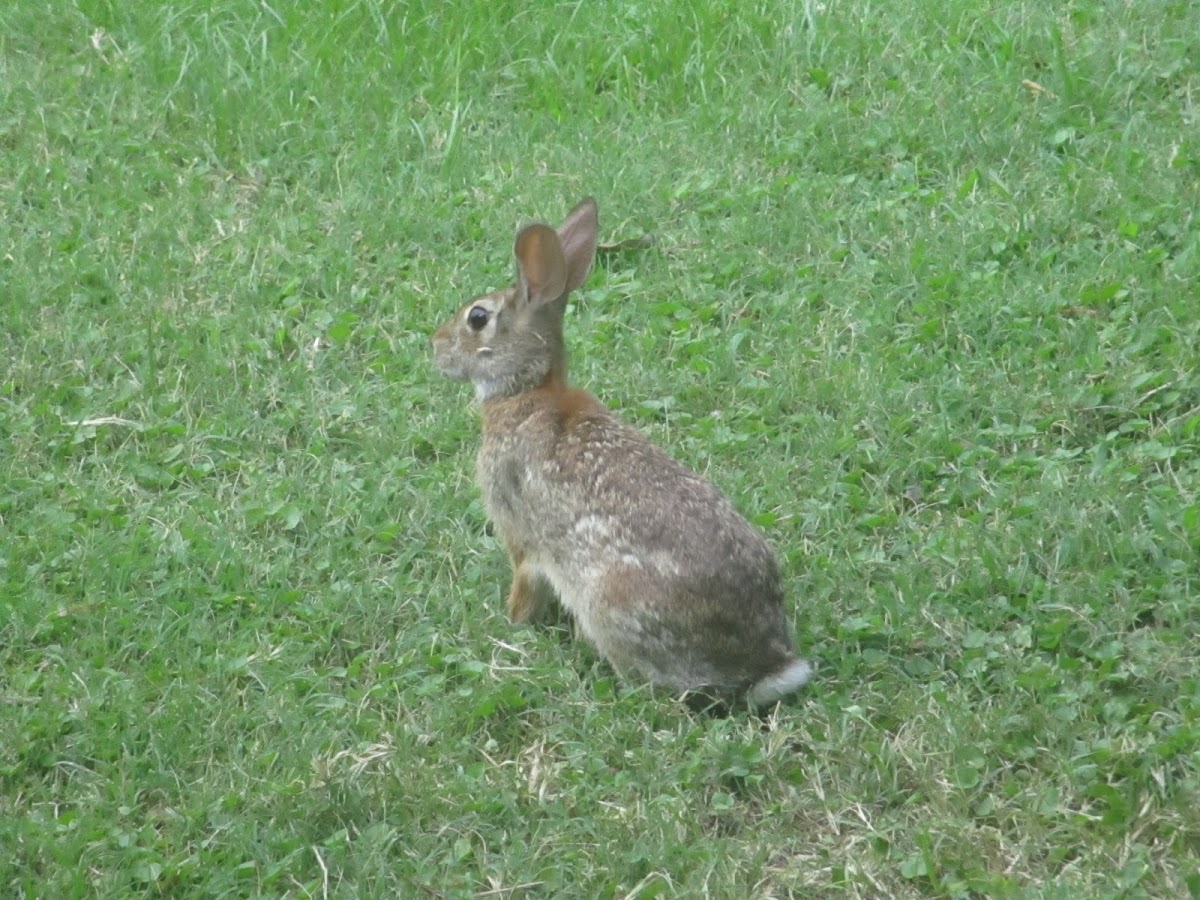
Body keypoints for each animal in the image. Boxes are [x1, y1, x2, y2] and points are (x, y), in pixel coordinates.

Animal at [434, 199, 816, 710]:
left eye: (477, 318)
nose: (436, 347)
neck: (527, 389)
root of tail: (764, 665)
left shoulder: (520, 537)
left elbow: (524, 585)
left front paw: (511, 623)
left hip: (609, 602)